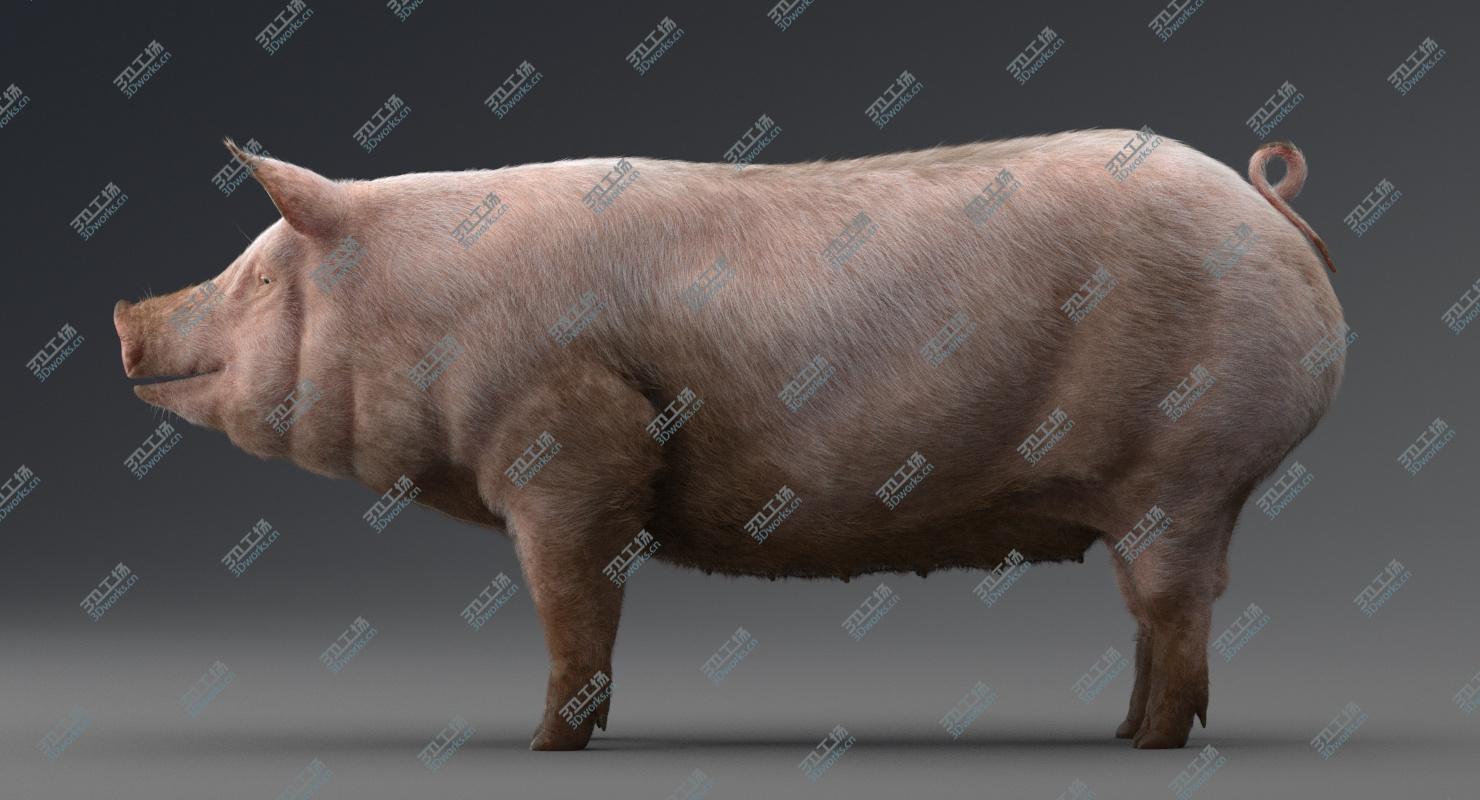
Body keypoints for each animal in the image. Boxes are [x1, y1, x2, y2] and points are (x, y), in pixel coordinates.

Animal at [114, 129, 1343, 750]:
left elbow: (575, 606)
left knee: (1176, 608)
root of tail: (1272, 212)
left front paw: (545, 748)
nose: (126, 313)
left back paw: (1152, 745)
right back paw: (1123, 733)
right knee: (1154, 613)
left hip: (1190, 466)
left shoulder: (572, 442)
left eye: (259, 276)